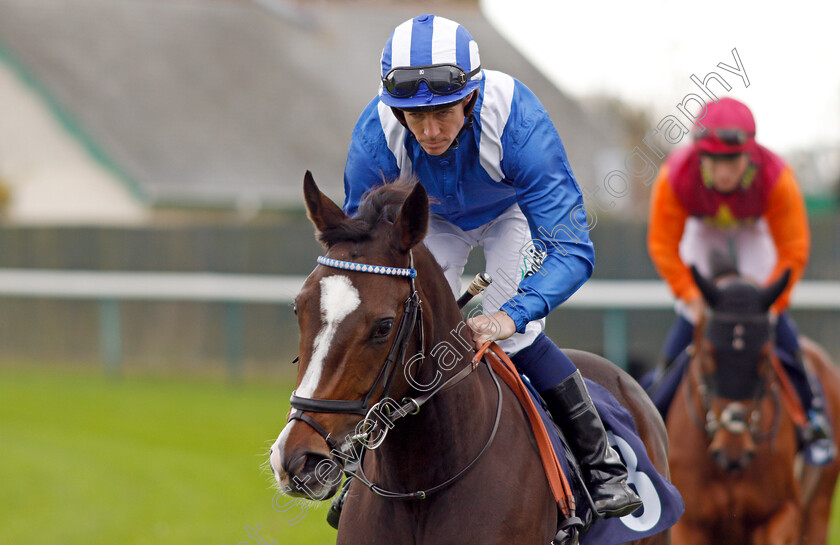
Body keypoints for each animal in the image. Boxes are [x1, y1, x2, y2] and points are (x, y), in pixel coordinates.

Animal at [668, 268, 840, 544]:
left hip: (819, 507)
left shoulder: (784, 511)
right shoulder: (689, 523)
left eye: (765, 354)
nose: (733, 453)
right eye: (708, 353)